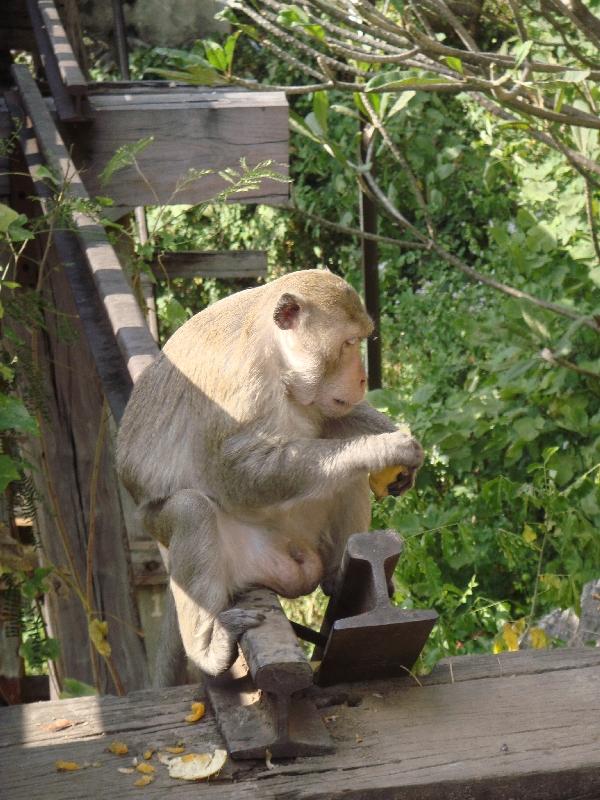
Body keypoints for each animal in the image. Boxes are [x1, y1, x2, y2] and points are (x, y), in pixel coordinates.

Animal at [117, 272, 424, 684]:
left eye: (360, 340)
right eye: (347, 343)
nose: (361, 380)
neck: (274, 357)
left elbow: (331, 419)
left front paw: (402, 447)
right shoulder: (238, 383)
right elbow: (237, 476)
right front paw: (384, 450)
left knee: (343, 477)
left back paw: (336, 577)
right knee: (190, 510)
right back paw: (207, 651)